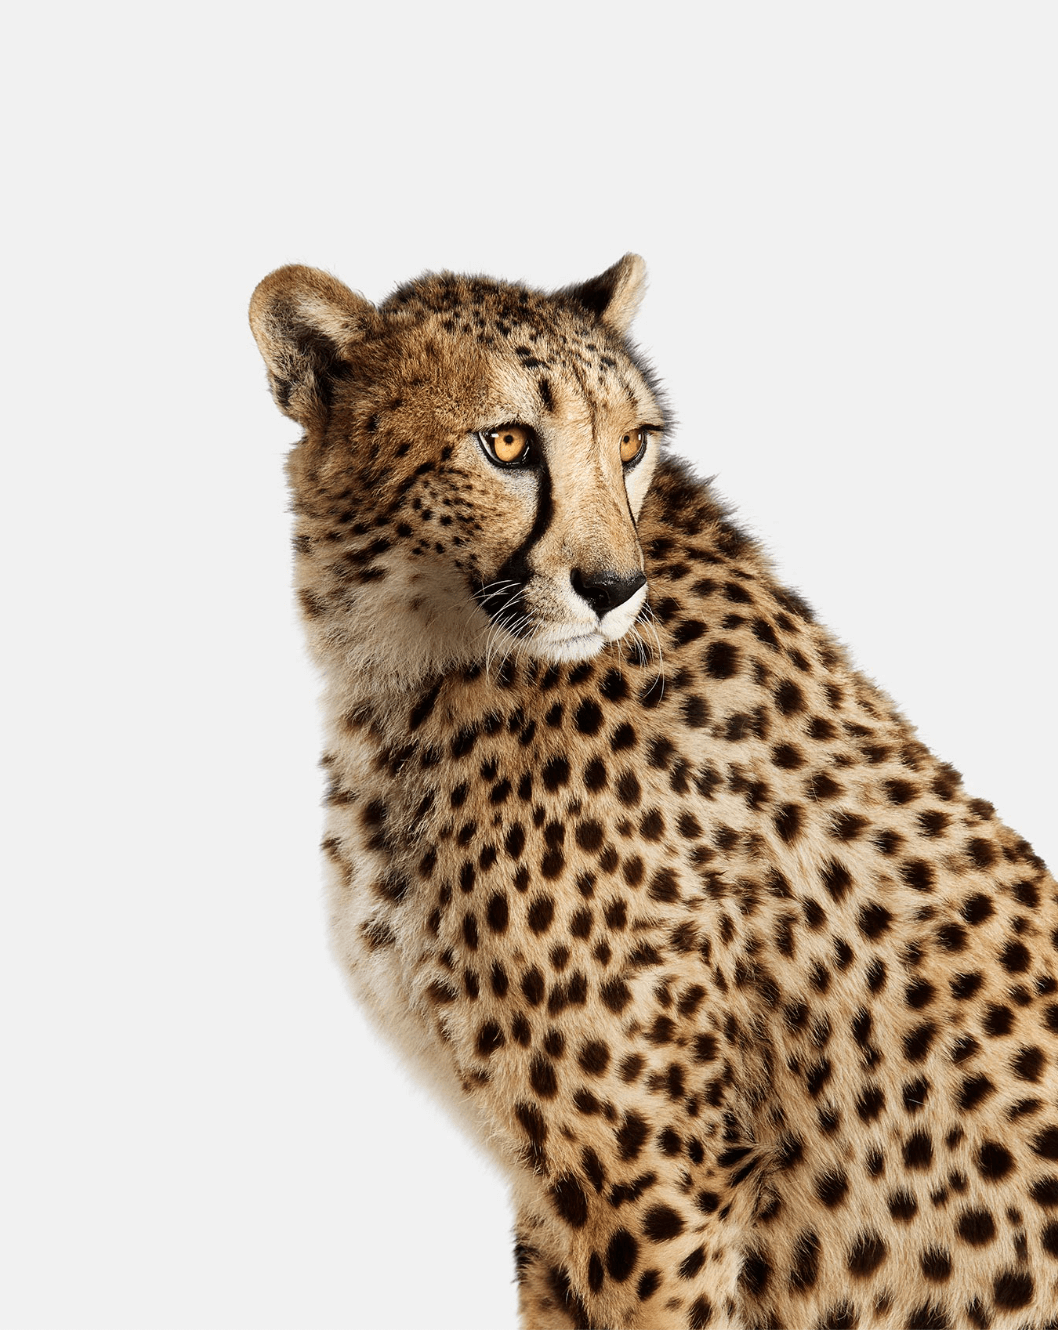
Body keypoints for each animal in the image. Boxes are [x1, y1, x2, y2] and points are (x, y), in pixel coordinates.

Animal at [250, 254, 1058, 1324]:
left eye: (631, 444)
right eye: (507, 442)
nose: (612, 589)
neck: (424, 665)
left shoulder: (653, 1178)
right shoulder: (563, 1184)